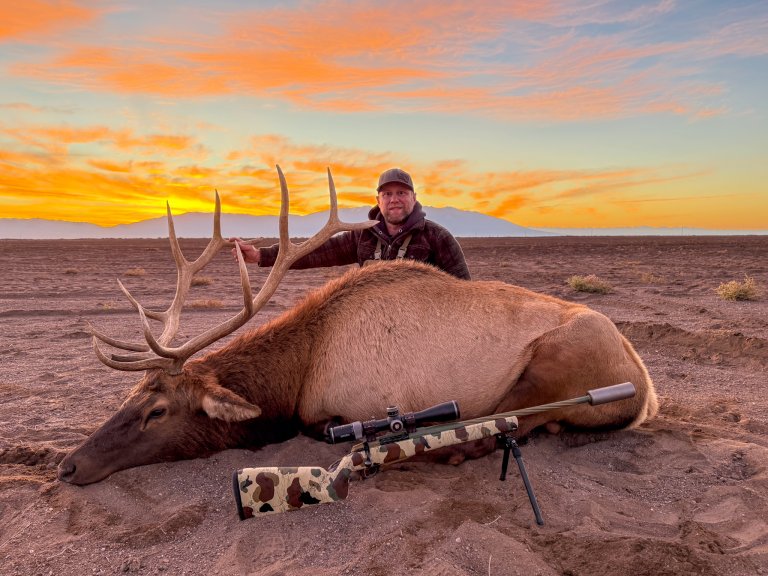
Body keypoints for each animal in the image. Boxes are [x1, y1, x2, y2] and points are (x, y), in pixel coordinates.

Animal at [58, 167, 658, 485]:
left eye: (157, 411)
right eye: (130, 395)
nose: (67, 465)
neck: (298, 370)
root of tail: (647, 389)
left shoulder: (340, 410)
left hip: (551, 365)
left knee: (502, 428)